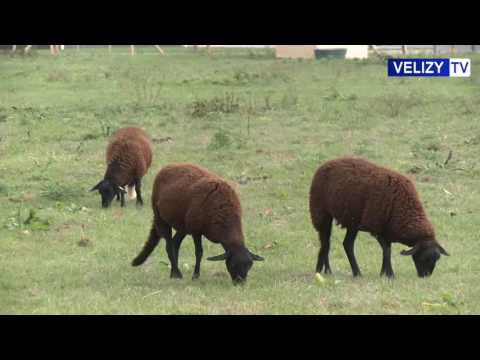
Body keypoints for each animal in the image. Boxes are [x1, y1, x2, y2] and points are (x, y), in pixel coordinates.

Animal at [131, 163, 264, 284]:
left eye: (250, 266)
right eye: (232, 265)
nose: (240, 283)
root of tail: (169, 166)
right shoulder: (196, 231)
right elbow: (199, 252)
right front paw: (195, 276)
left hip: (183, 224)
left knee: (175, 243)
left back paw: (174, 271)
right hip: (161, 218)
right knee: (169, 245)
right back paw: (176, 274)